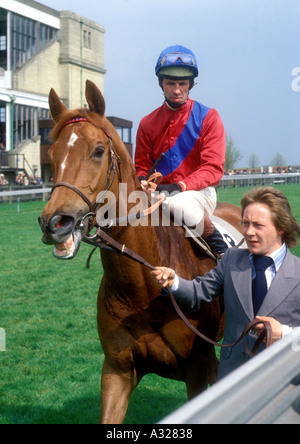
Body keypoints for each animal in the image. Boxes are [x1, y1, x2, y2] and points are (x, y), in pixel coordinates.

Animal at [39, 80, 241, 424]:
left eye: (98, 151)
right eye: (52, 153)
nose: (55, 222)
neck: (143, 290)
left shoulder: (199, 369)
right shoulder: (117, 371)